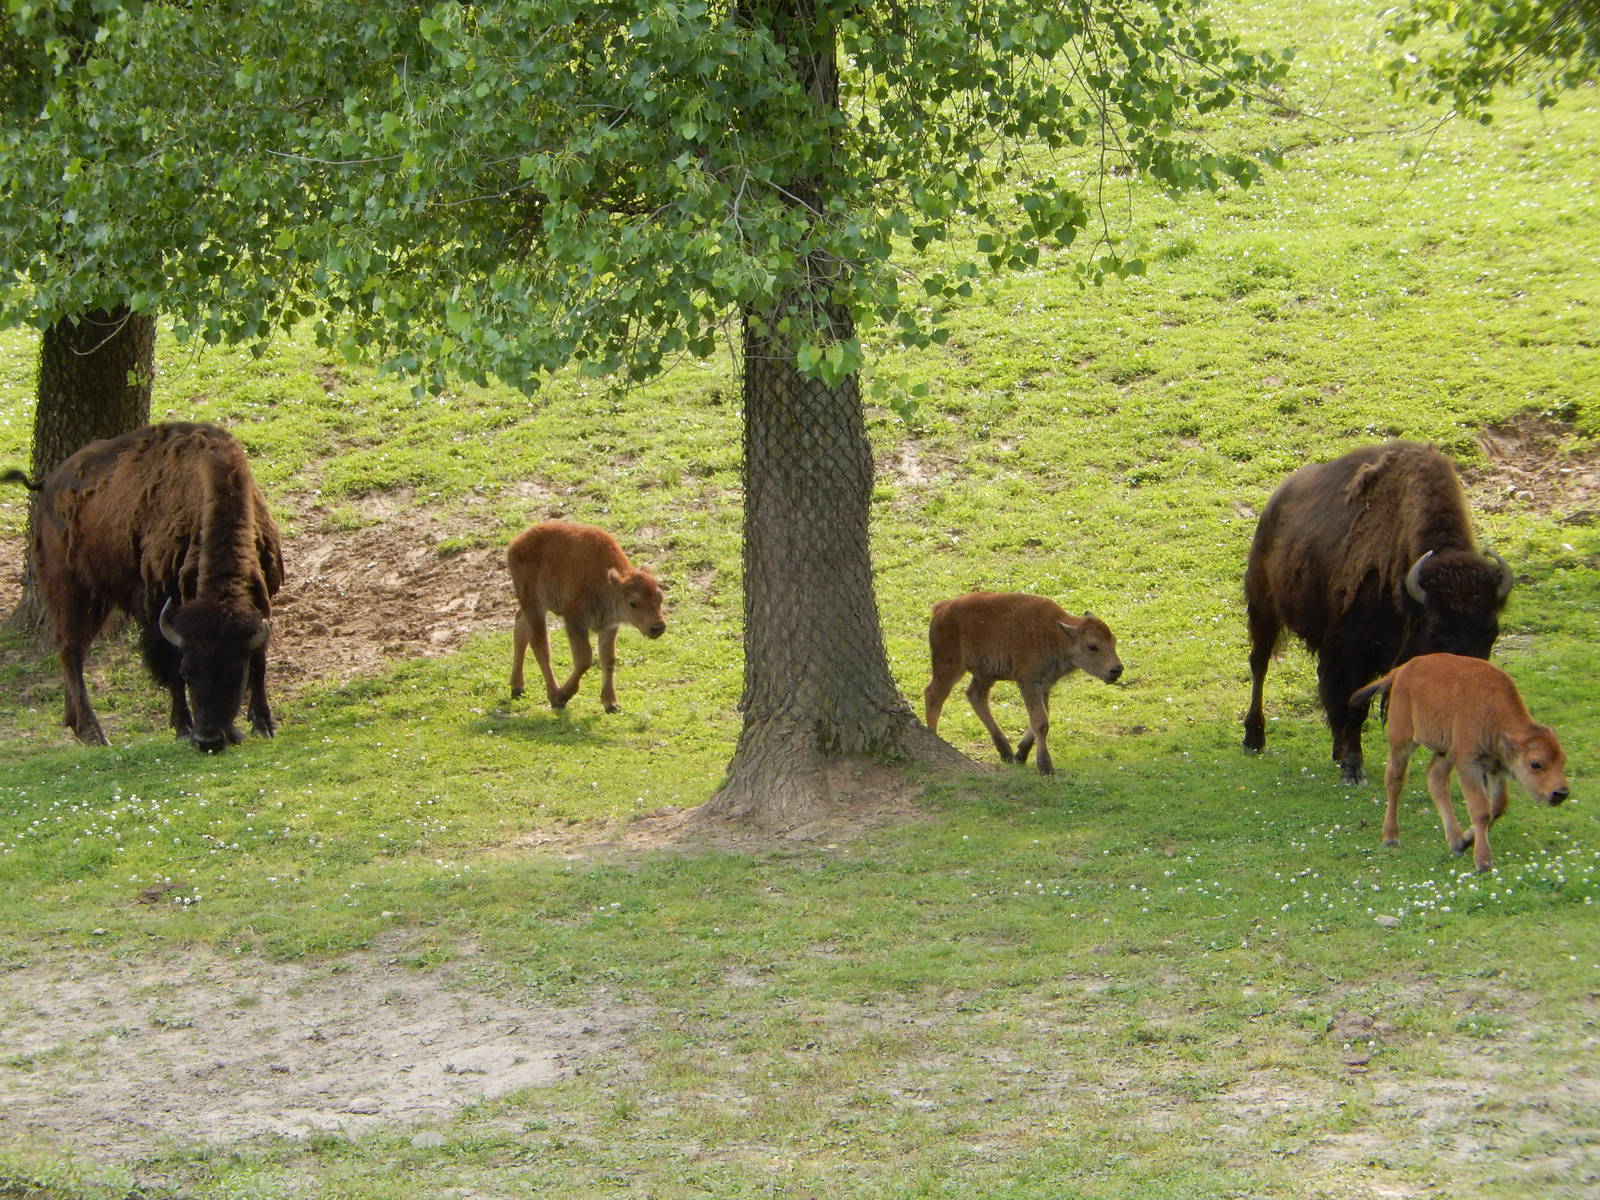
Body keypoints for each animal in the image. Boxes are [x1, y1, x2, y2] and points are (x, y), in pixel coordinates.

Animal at [5, 422, 283, 751]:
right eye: (188, 672)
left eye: (235, 674)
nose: (208, 739)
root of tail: (48, 482)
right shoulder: (156, 606)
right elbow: (168, 663)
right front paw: (183, 727)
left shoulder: (260, 602)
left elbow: (260, 661)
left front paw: (263, 724)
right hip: (72, 588)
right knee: (69, 649)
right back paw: (94, 733)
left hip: (97, 599)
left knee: (75, 649)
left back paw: (77, 725)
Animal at [507, 520, 666, 713]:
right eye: (633, 603)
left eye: (660, 598)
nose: (658, 627)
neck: (608, 583)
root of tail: (516, 542)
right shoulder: (575, 622)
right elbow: (584, 659)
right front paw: (564, 695)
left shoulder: (609, 627)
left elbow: (608, 660)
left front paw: (611, 703)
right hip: (534, 605)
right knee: (540, 645)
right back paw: (554, 695)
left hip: (529, 606)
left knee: (520, 625)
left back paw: (517, 687)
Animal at [923, 591, 1123, 776]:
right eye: (1092, 646)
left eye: (1113, 641)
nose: (1116, 669)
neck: (1057, 634)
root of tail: (941, 608)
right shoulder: (1028, 683)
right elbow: (1041, 722)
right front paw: (1045, 766)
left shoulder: (1044, 686)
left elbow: (1042, 716)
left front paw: (1020, 755)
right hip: (950, 666)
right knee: (934, 695)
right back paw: (933, 735)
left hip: (985, 674)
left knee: (975, 696)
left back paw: (1005, 750)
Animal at [1242, 441, 1512, 785]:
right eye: (1436, 630)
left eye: (1492, 632)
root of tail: (1273, 506)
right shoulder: (1355, 650)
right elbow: (1355, 706)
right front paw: (1354, 769)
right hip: (1264, 609)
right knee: (1260, 665)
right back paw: (1254, 739)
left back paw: (1336, 750)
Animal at [1350, 654, 1568, 872]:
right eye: (1535, 764)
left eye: (1563, 760)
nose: (1560, 793)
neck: (1494, 714)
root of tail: (1403, 669)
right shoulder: (1469, 765)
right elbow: (1481, 810)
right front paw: (1483, 861)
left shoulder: (1494, 769)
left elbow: (1497, 807)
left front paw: (1466, 841)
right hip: (1402, 741)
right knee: (1395, 780)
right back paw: (1391, 836)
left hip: (1444, 751)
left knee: (1435, 779)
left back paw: (1456, 841)